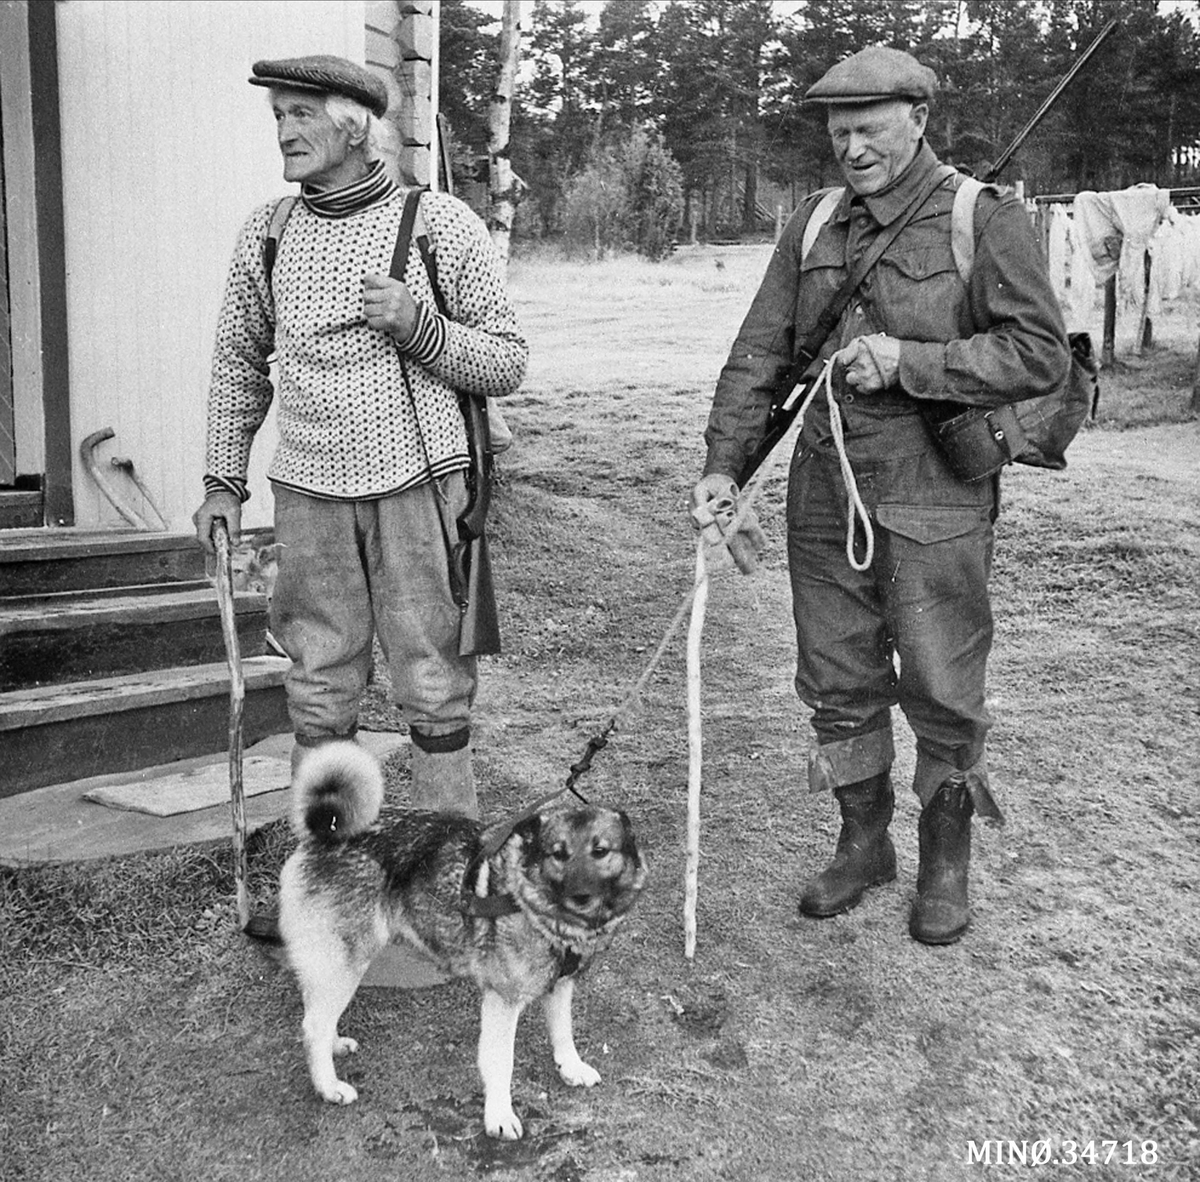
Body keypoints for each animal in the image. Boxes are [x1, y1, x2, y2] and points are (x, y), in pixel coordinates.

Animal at [274, 744, 648, 1137]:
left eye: (601, 851)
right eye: (558, 854)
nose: (579, 896)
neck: (528, 896)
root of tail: (324, 832)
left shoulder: (560, 986)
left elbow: (563, 1032)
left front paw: (570, 1067)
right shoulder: (502, 1001)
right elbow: (500, 1062)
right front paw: (499, 1115)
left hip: (332, 964)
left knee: (316, 1012)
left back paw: (334, 1046)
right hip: (345, 962)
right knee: (313, 1026)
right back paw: (328, 1087)